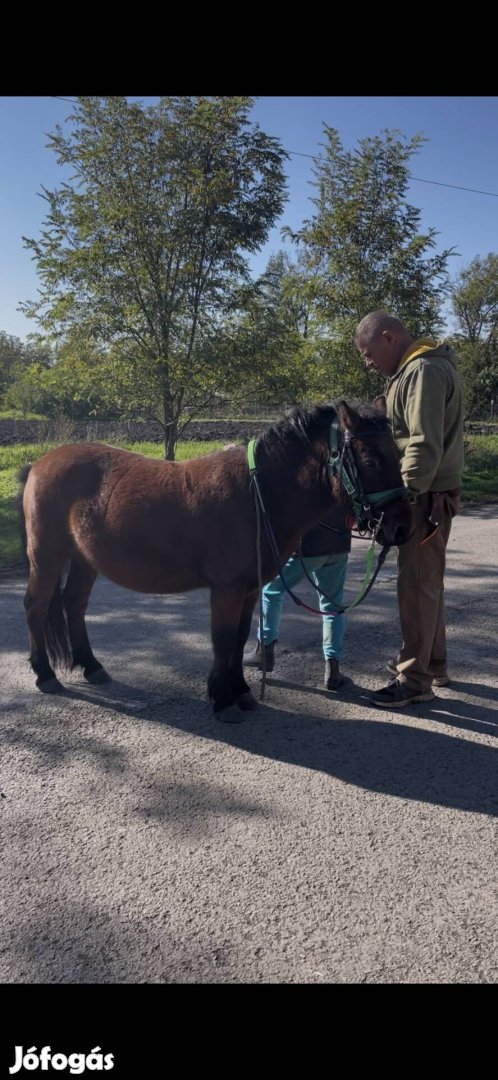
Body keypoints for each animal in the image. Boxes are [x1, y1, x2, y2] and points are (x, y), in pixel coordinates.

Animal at [19, 401, 410, 721]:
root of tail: (40, 463)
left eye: (397, 452)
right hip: (47, 556)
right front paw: (223, 701)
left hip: (84, 560)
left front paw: (241, 692)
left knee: (74, 603)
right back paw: (45, 674)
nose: (401, 527)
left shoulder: (249, 589)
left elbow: (238, 640)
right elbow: (222, 641)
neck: (258, 493)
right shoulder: (227, 590)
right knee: (37, 606)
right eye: (371, 460)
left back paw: (92, 666)